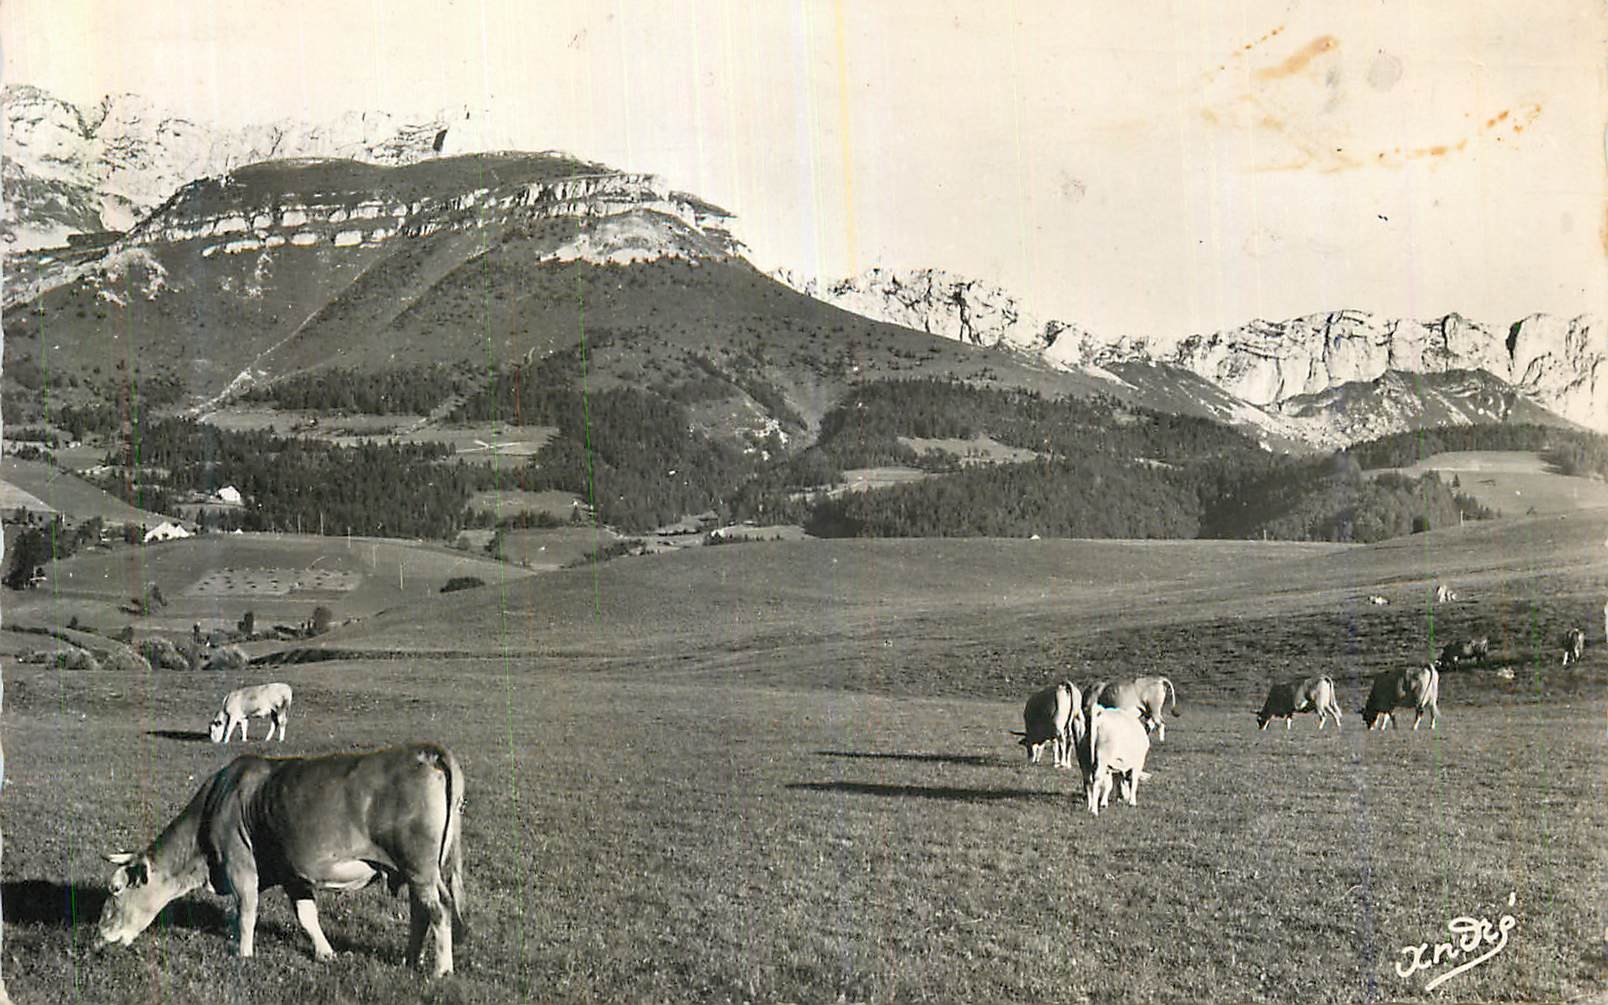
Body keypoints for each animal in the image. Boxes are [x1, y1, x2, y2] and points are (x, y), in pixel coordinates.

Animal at [98, 743, 466, 976]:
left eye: (116, 890)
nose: (100, 939)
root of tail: (421, 750)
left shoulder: (239, 864)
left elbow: (247, 912)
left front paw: (243, 954)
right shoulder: (294, 873)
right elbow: (306, 916)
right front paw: (325, 952)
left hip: (418, 867)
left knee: (438, 910)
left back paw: (441, 970)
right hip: (417, 871)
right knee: (421, 912)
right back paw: (410, 960)